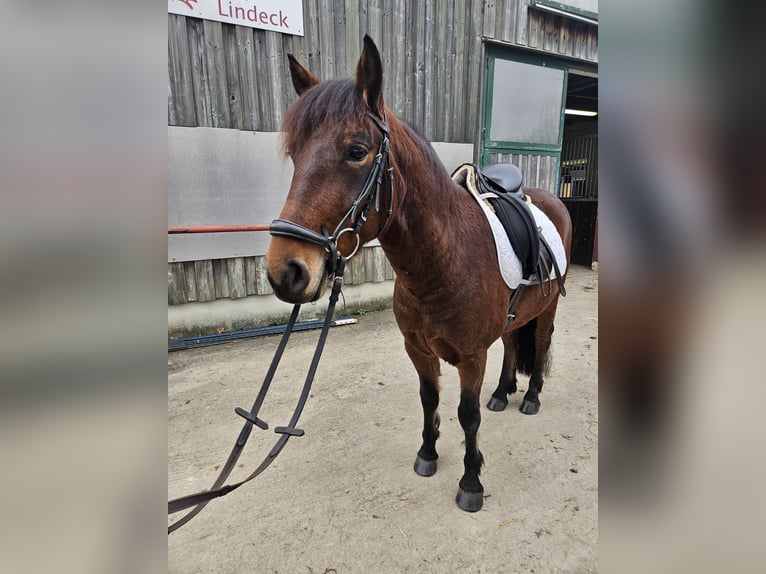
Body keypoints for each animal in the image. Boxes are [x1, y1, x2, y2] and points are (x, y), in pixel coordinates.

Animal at [268, 36, 572, 512]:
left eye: (357, 151)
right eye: (296, 155)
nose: (286, 271)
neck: (441, 265)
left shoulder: (471, 356)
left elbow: (468, 416)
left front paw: (471, 482)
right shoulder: (418, 349)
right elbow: (430, 399)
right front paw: (428, 453)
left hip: (548, 307)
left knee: (539, 345)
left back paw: (532, 397)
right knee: (511, 343)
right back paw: (503, 392)